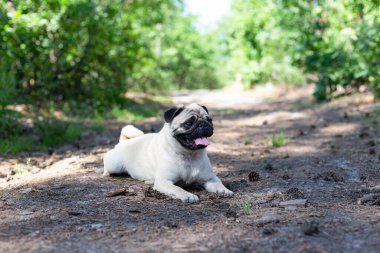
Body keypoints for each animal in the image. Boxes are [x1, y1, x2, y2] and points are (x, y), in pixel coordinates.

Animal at [104, 104, 235, 203]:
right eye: (188, 123)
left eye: (209, 120)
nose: (203, 124)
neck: (188, 155)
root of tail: (124, 141)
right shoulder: (164, 181)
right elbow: (177, 189)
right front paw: (188, 195)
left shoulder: (210, 178)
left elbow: (218, 183)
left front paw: (224, 190)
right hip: (114, 165)